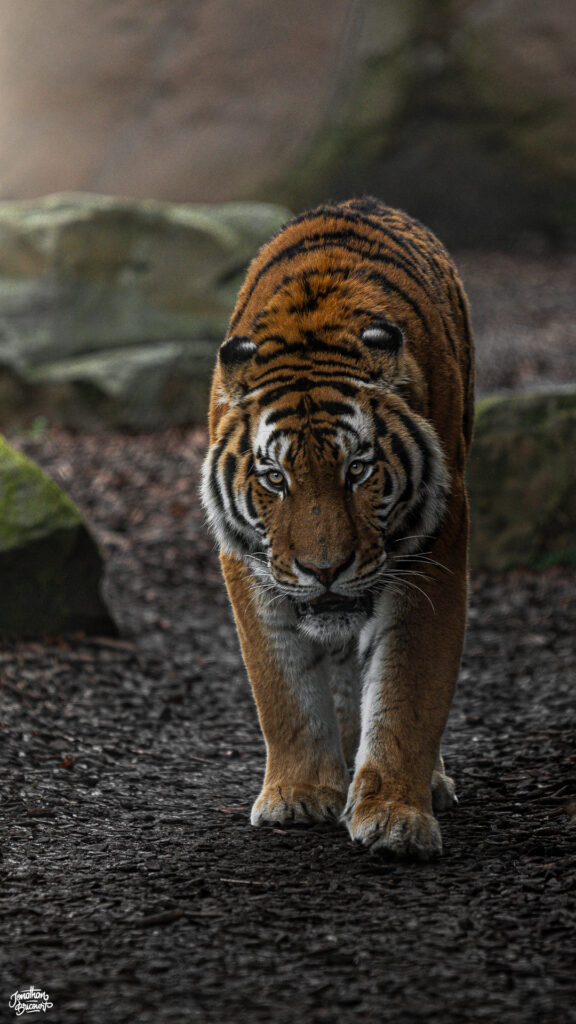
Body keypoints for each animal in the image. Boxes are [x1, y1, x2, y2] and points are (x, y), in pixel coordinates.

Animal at [201, 197, 474, 860]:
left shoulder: (434, 552)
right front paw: (298, 795)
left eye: (358, 471)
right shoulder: (249, 564)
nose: (324, 570)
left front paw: (397, 815)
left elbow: (409, 688)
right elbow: (281, 688)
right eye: (275, 479)